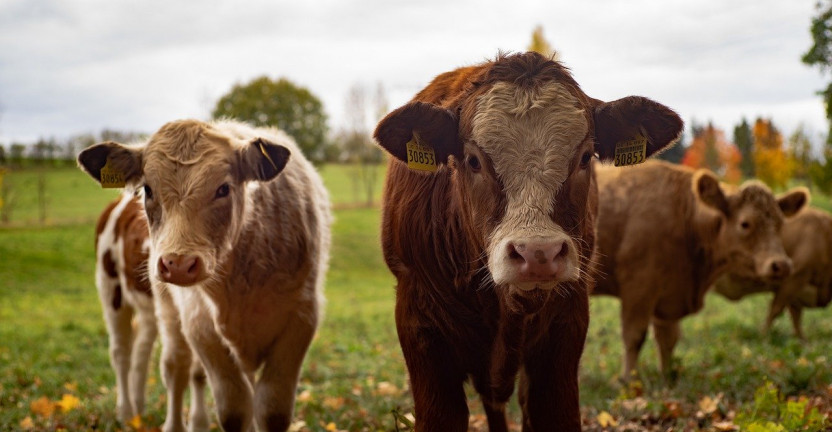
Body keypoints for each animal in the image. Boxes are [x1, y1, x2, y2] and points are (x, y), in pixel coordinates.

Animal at [77, 120, 332, 432]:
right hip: (115, 292)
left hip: (152, 309)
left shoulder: (301, 319)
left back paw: (143, 411)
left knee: (145, 352)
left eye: (223, 188)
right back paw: (130, 413)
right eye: (148, 189)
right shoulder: (200, 324)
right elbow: (234, 409)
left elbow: (272, 410)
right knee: (141, 358)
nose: (177, 263)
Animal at [588, 160, 808, 380]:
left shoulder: (669, 296)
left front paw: (667, 376)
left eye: (780, 224)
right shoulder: (638, 288)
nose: (782, 264)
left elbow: (668, 340)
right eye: (745, 223)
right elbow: (634, 336)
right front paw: (628, 380)